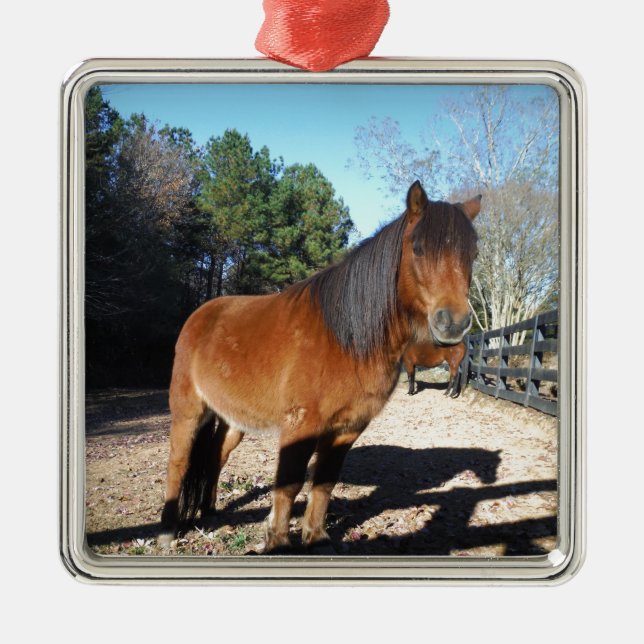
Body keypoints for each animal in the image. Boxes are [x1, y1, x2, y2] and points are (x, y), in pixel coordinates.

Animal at [158, 181, 481, 552]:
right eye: (418, 248)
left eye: (473, 254)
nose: (454, 323)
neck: (347, 338)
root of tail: (200, 315)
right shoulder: (301, 426)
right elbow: (289, 485)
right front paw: (278, 542)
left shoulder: (347, 428)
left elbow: (324, 482)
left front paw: (316, 537)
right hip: (188, 412)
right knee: (178, 463)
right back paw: (167, 532)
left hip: (233, 419)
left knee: (215, 457)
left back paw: (209, 512)